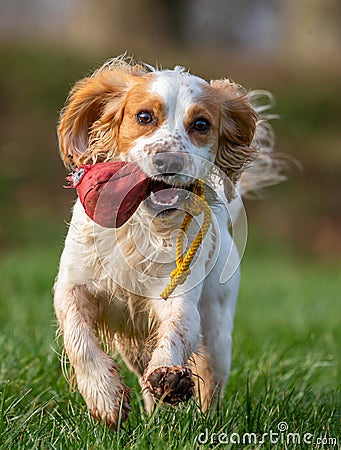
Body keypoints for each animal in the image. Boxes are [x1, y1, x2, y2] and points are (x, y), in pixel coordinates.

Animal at [53, 54, 282, 428]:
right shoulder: (74, 287)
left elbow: (176, 331)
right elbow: (79, 339)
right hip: (133, 345)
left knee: (210, 384)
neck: (142, 229)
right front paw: (104, 396)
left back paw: (199, 420)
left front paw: (168, 376)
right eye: (144, 117)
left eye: (201, 124)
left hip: (217, 334)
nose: (169, 159)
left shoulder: (180, 300)